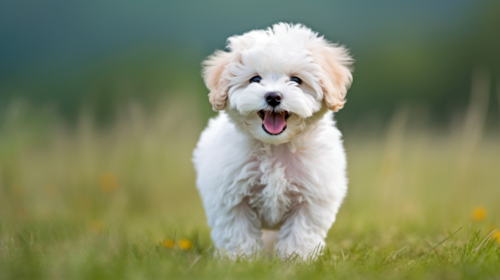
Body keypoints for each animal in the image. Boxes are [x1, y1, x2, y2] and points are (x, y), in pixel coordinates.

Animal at [191, 23, 352, 260]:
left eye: (296, 80)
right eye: (255, 79)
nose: (273, 96)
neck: (276, 147)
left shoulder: (312, 198)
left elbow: (300, 232)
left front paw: (295, 260)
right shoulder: (231, 197)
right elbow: (238, 231)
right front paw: (242, 260)